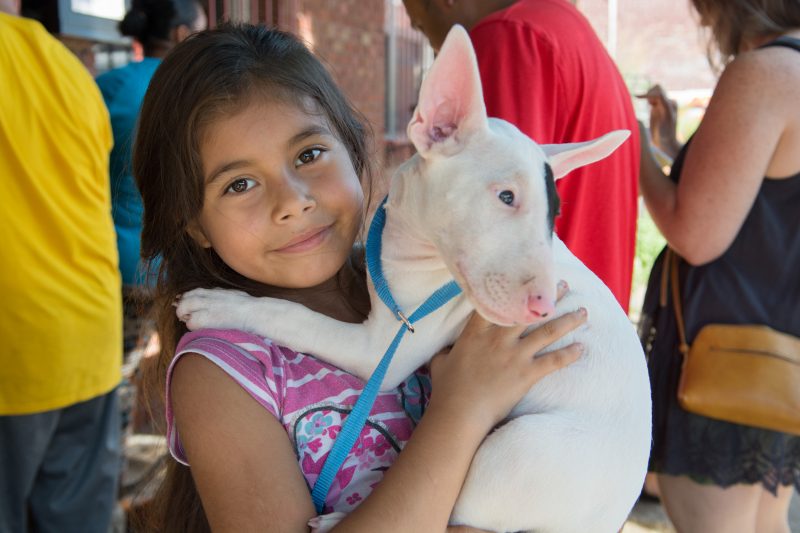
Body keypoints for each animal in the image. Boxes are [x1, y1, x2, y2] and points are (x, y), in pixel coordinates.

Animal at [175, 25, 648, 532]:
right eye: (506, 196)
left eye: (552, 215)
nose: (543, 306)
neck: (412, 239)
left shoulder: (384, 347)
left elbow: (293, 315)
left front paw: (220, 305)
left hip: (511, 454)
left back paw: (335, 519)